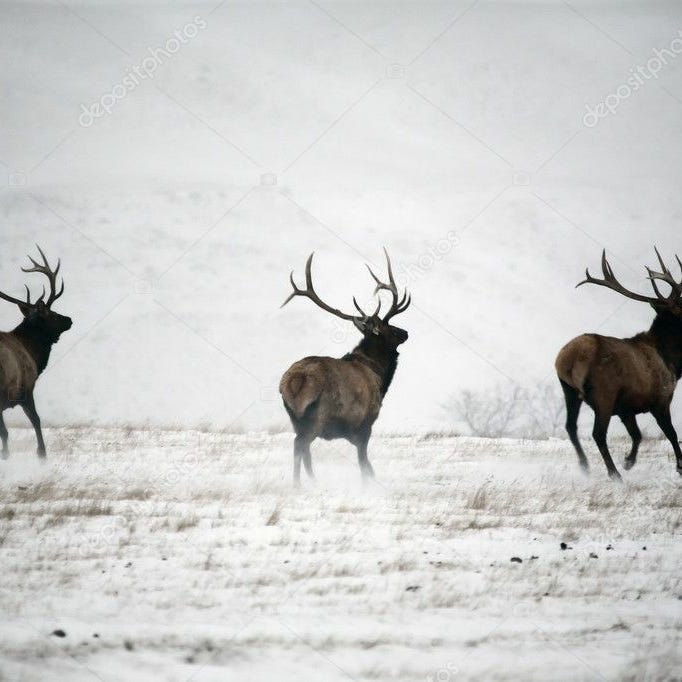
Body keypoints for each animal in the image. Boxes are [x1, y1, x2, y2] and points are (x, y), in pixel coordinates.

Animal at [279, 249, 411, 484]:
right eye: (387, 326)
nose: (405, 332)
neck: (380, 376)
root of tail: (295, 381)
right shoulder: (365, 424)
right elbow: (365, 465)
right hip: (317, 415)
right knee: (300, 445)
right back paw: (299, 484)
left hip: (295, 416)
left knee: (303, 449)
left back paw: (311, 482)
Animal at [556, 249, 682, 481]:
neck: (673, 362)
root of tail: (569, 359)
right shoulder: (661, 398)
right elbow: (671, 433)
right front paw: (679, 466)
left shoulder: (627, 407)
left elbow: (638, 435)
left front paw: (628, 461)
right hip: (603, 394)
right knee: (597, 433)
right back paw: (614, 474)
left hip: (568, 389)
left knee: (571, 426)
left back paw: (585, 466)